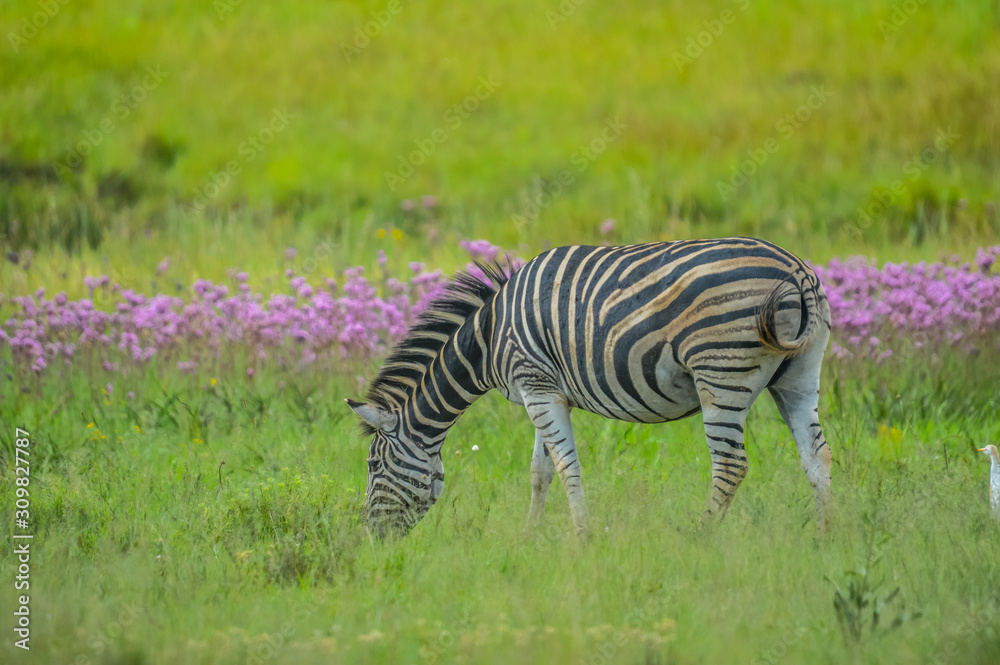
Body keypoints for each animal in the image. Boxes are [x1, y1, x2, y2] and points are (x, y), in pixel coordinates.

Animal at [347, 237, 833, 537]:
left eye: (372, 465)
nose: (372, 540)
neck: (488, 340)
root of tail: (797, 270)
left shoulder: (536, 385)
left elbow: (566, 467)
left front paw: (582, 537)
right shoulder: (544, 389)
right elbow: (540, 471)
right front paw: (529, 536)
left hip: (721, 374)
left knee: (730, 465)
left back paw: (701, 536)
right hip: (799, 376)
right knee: (818, 455)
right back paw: (826, 535)